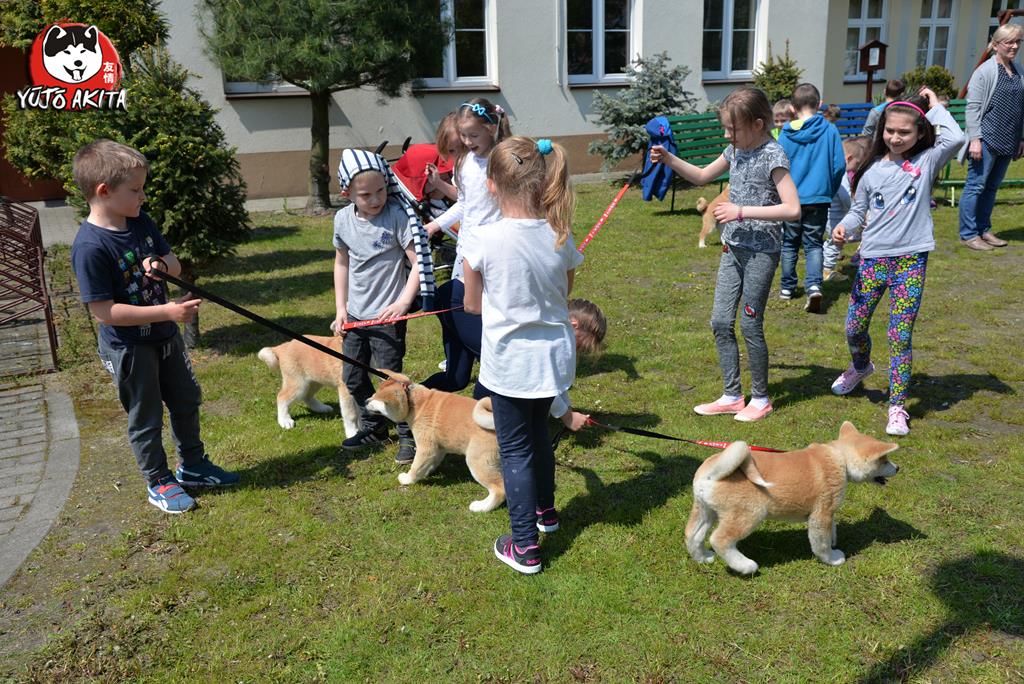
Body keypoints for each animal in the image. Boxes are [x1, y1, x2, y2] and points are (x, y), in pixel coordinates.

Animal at [365, 372, 505, 513]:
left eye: (376, 398)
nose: (365, 401)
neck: (413, 402)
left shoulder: (426, 448)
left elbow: (416, 466)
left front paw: (408, 479)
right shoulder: (438, 448)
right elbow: (429, 463)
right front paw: (426, 472)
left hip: (477, 461)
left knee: (499, 489)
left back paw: (482, 507)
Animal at [685, 421, 899, 575]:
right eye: (884, 460)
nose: (897, 468)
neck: (840, 459)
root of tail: (712, 474)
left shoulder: (828, 513)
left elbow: (832, 529)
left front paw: (833, 541)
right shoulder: (821, 514)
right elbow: (821, 543)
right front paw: (832, 558)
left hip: (706, 511)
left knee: (693, 535)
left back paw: (703, 558)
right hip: (748, 515)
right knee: (719, 539)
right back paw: (745, 565)